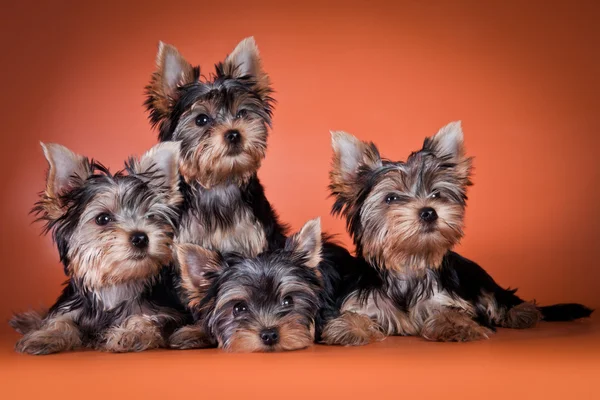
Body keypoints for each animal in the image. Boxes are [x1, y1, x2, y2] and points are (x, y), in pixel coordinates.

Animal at [12, 142, 190, 354]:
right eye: (103, 218)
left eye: (151, 216)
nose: (140, 237)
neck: (116, 284)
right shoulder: (70, 307)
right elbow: (60, 320)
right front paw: (46, 335)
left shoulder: (168, 312)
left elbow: (149, 319)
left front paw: (132, 333)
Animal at [324, 121, 592, 344]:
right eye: (391, 198)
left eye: (436, 193)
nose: (429, 212)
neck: (409, 263)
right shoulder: (365, 302)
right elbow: (351, 317)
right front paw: (349, 327)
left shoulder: (449, 298)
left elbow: (454, 312)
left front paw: (457, 326)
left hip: (478, 277)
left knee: (502, 298)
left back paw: (522, 313)